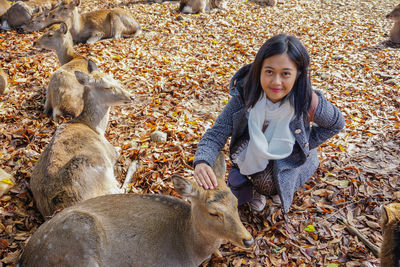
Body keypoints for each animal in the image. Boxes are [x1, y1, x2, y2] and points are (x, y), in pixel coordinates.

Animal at [28, 59, 134, 221]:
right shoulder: (110, 151)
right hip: (101, 173)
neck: (96, 128)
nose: (131, 96)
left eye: (115, 79)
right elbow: (118, 150)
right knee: (120, 191)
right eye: (107, 87)